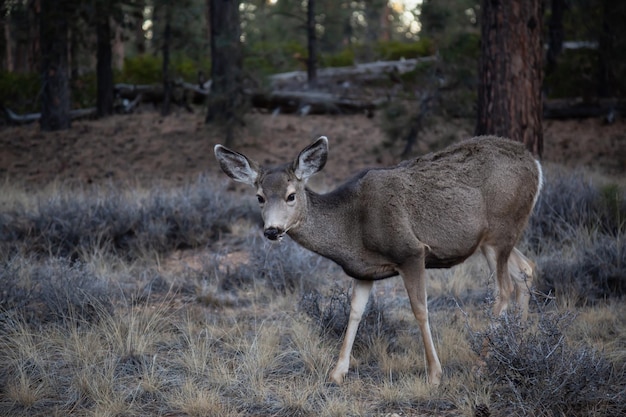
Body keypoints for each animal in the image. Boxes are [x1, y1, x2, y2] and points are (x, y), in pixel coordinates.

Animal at [213, 135, 540, 386]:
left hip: (500, 228)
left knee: (503, 289)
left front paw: (435, 374)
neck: (352, 227)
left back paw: (482, 365)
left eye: (291, 195)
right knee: (526, 270)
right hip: (495, 238)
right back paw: (521, 347)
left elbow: (420, 310)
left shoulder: (410, 251)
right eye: (259, 197)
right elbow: (355, 312)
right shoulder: (363, 270)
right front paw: (337, 372)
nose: (272, 230)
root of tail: (535, 164)